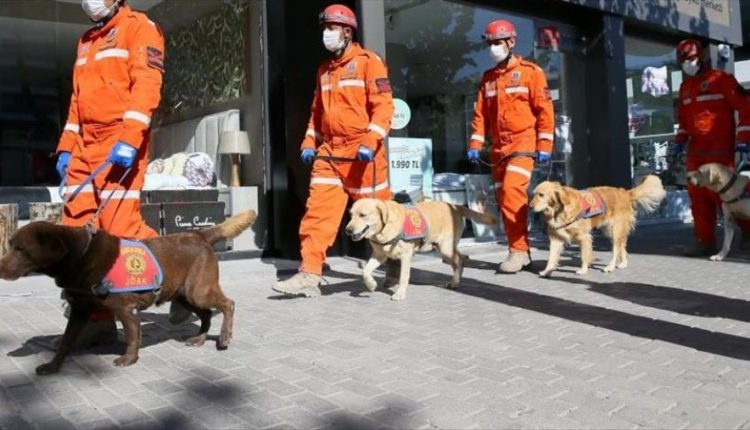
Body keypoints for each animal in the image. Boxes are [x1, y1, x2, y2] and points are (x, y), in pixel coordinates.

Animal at [0, 211, 256, 375]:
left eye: (21, 249)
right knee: (206, 314)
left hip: (198, 290)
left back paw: (224, 336)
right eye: (10, 245)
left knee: (228, 304)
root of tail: (199, 234)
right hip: (183, 294)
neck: (81, 255)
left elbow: (133, 337)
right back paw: (199, 339)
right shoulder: (80, 311)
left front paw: (129, 359)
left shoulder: (126, 309)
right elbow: (65, 342)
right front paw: (53, 366)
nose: (0, 268)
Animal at [345, 199, 496, 301]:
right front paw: (371, 285)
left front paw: (400, 293)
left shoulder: (406, 256)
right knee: (457, 261)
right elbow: (365, 271)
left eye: (363, 215)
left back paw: (455, 282)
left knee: (460, 260)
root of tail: (454, 206)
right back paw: (454, 282)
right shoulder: (379, 255)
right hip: (441, 249)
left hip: (446, 248)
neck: (384, 228)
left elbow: (404, 277)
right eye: (351, 215)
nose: (347, 230)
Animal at [530, 175, 665, 277]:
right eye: (534, 194)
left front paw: (583, 269)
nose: (530, 206)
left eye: (541, 195)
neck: (559, 210)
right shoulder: (556, 238)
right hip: (613, 231)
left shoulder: (584, 236)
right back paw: (623, 263)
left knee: (616, 249)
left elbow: (584, 255)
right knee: (622, 246)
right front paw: (547, 270)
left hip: (615, 230)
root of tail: (625, 192)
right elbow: (551, 257)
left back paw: (610, 267)